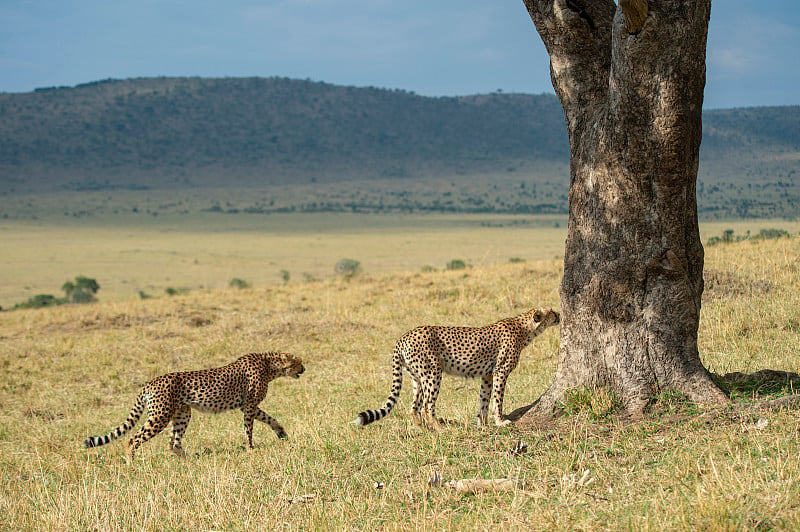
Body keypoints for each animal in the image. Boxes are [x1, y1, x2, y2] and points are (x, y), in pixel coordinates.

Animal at [83, 352, 304, 460]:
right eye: (298, 362)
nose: (304, 369)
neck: (270, 366)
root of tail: (150, 382)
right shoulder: (249, 405)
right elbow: (249, 429)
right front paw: (250, 448)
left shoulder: (247, 406)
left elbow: (270, 418)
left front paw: (282, 433)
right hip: (160, 416)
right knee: (133, 439)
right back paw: (131, 461)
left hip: (182, 413)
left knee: (173, 442)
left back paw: (189, 459)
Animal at [354, 308, 560, 428]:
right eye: (551, 312)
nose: (559, 314)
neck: (524, 328)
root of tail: (404, 336)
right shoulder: (500, 371)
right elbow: (497, 399)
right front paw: (500, 421)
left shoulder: (487, 375)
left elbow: (484, 400)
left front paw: (482, 424)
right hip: (432, 373)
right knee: (426, 406)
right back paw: (439, 428)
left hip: (417, 377)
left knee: (414, 407)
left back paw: (423, 429)